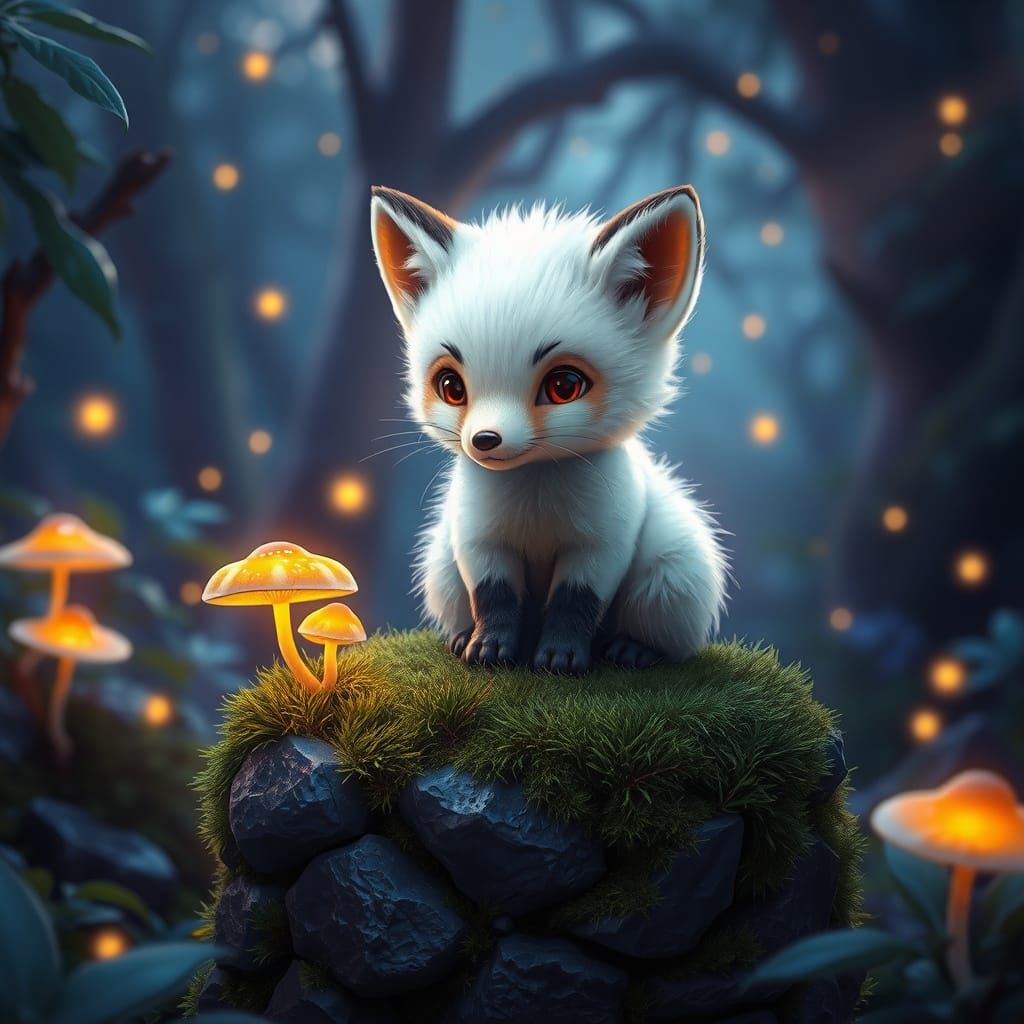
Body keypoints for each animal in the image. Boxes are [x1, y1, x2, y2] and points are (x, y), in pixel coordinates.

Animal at [370, 184, 728, 674]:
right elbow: (493, 597)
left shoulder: (601, 545)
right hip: (441, 566)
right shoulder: (478, 539)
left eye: (564, 386)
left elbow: (575, 602)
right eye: (451, 387)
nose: (484, 441)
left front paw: (560, 656)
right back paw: (460, 636)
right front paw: (489, 648)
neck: (534, 493)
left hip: (672, 574)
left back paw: (634, 650)